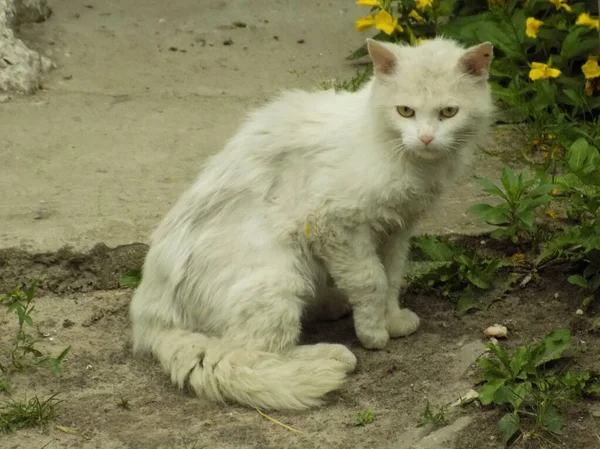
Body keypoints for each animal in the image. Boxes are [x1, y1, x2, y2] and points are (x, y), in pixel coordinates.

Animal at [129, 37, 494, 410]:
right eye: (405, 111)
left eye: (448, 112)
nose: (426, 138)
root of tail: (150, 319)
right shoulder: (334, 223)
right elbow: (370, 281)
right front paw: (374, 332)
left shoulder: (396, 230)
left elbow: (392, 279)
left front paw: (392, 319)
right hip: (276, 275)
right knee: (252, 352)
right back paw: (332, 355)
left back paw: (330, 306)